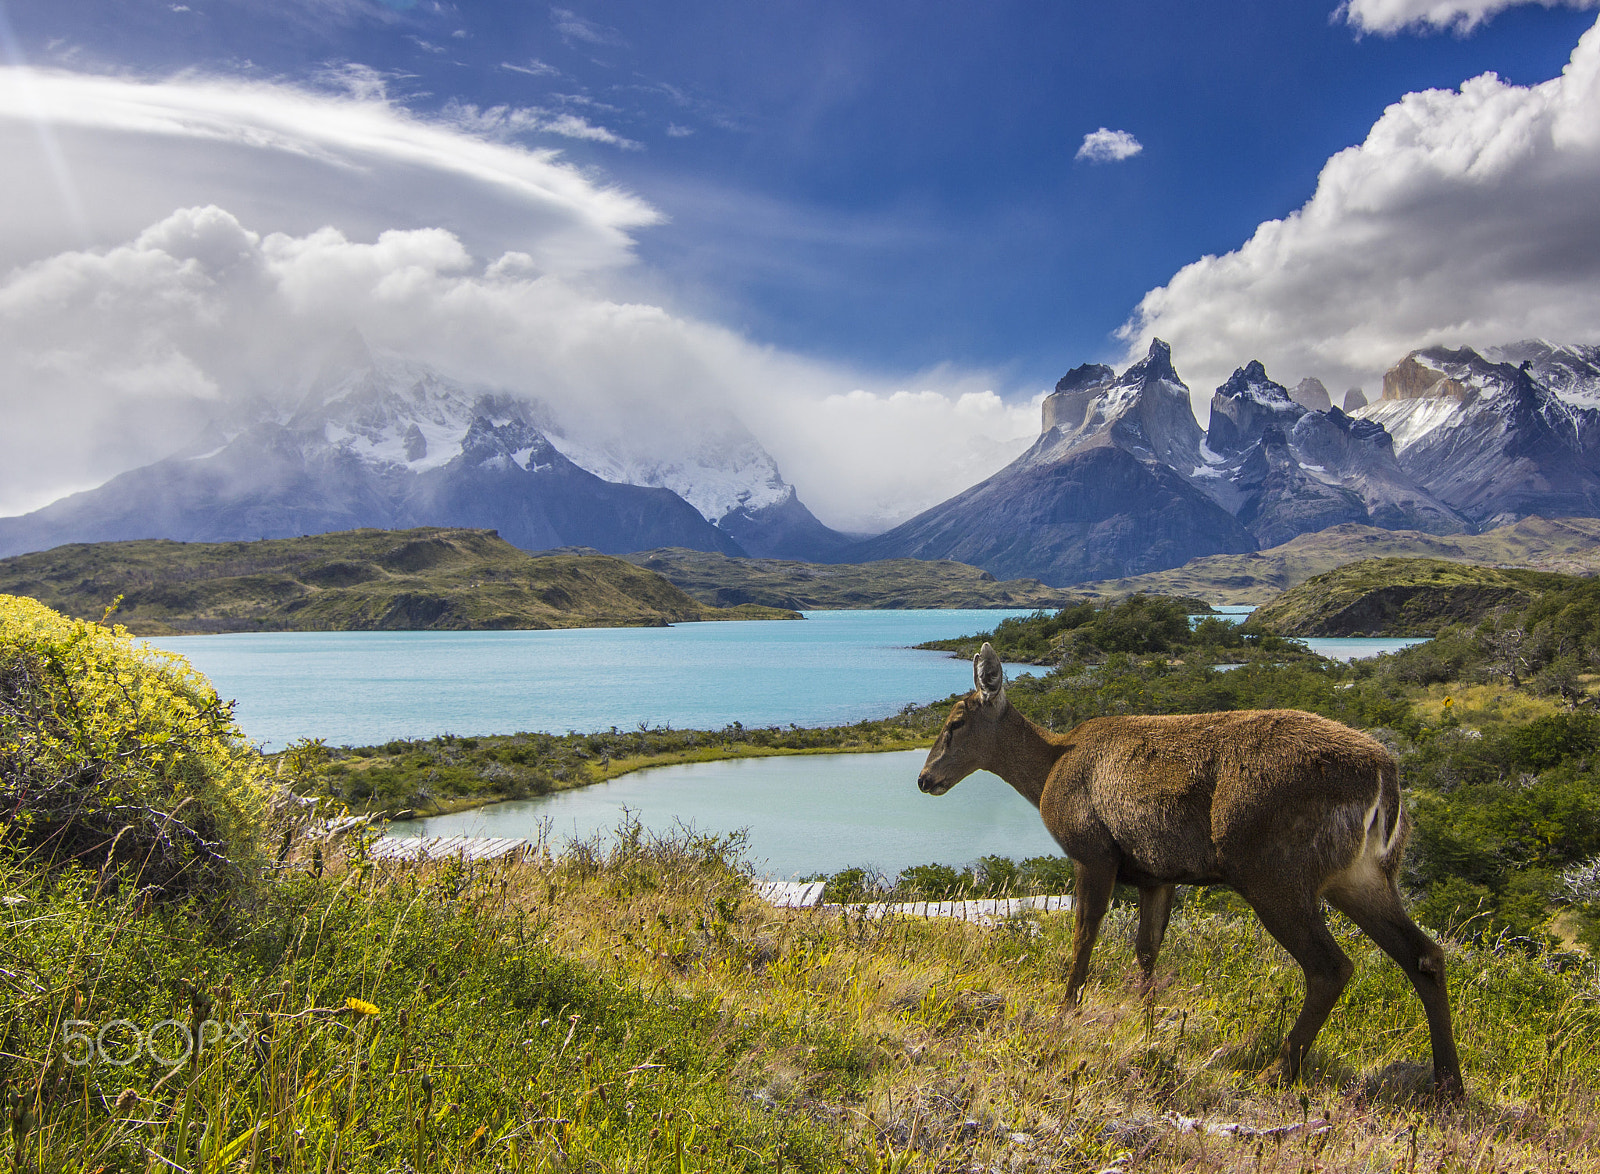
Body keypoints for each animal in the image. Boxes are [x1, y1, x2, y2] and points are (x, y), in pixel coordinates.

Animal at [917, 643, 1462, 1096]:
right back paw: (1447, 1086)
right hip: (1362, 875)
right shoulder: (1158, 874)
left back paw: (1275, 1071)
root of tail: (1385, 778)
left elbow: (1084, 933)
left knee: (1331, 966)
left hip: (1272, 869)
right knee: (1424, 955)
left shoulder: (1092, 850)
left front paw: (1066, 1010)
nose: (924, 778)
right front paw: (1146, 1022)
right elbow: (1146, 950)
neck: (1049, 772)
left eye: (955, 722)